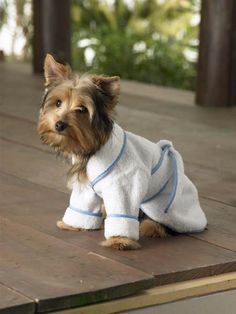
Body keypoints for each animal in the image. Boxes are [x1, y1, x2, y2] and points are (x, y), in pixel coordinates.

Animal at [37, 54, 206, 250]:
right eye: (58, 103)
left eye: (82, 109)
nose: (59, 124)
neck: (93, 147)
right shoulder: (86, 188)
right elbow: (83, 206)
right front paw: (72, 225)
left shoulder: (124, 185)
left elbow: (123, 213)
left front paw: (120, 240)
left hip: (166, 206)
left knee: (166, 223)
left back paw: (150, 227)